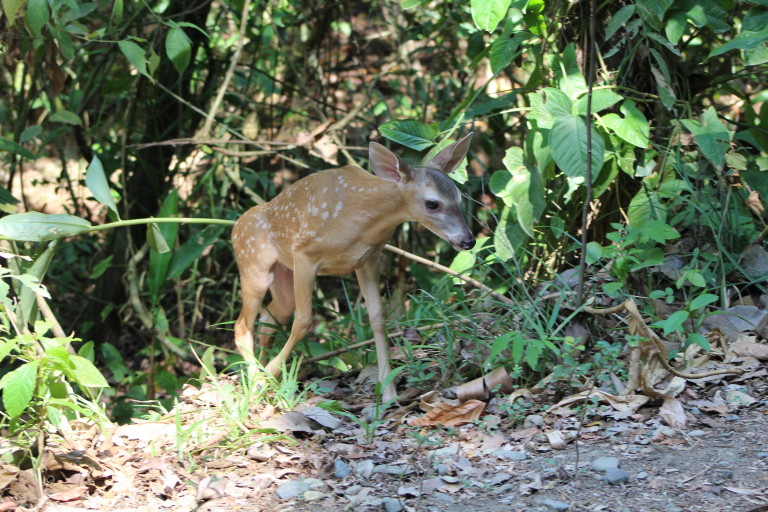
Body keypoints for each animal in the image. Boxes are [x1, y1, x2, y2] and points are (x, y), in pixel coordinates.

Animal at [232, 132, 475, 403]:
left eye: (459, 197)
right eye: (432, 203)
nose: (468, 240)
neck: (362, 219)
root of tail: (236, 227)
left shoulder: (369, 259)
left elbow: (378, 319)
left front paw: (389, 392)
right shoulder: (305, 253)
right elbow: (304, 322)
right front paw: (268, 376)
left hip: (283, 275)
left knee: (270, 318)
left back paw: (261, 373)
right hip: (253, 264)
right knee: (242, 326)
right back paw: (257, 380)